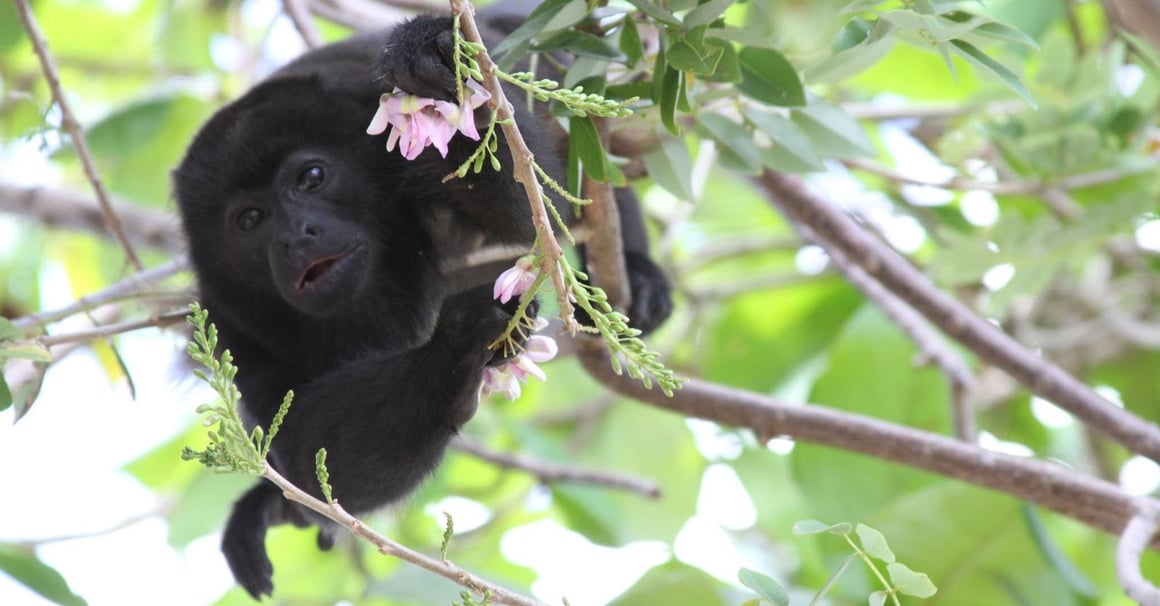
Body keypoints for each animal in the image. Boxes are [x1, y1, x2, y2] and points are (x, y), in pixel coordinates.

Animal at [176, 7, 677, 594]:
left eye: (312, 177)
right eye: (250, 219)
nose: (295, 237)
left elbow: (529, 210)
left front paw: (433, 62)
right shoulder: (230, 316)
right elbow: (306, 453)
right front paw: (456, 345)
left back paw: (635, 276)